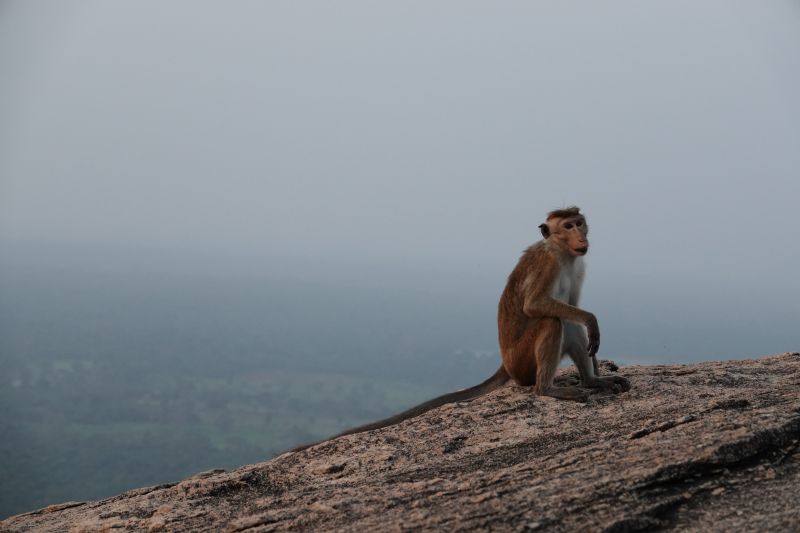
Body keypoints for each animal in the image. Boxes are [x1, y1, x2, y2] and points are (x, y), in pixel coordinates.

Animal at [284, 206, 628, 450]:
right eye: (567, 226)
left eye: (579, 222)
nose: (581, 235)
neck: (562, 252)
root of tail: (506, 365)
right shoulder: (549, 264)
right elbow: (536, 305)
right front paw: (592, 321)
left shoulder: (578, 265)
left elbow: (573, 309)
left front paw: (598, 371)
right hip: (523, 364)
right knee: (551, 320)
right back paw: (548, 389)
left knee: (565, 321)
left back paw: (590, 382)